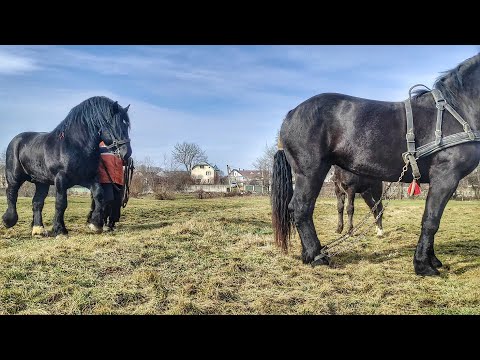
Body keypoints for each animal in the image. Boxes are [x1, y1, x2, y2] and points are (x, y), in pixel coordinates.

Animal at [1, 95, 132, 236]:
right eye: (114, 124)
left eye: (126, 125)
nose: (127, 153)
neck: (76, 145)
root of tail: (16, 139)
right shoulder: (61, 179)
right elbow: (61, 203)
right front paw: (60, 230)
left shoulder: (88, 178)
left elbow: (99, 194)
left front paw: (95, 224)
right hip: (14, 176)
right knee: (11, 193)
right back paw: (9, 220)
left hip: (41, 182)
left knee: (37, 202)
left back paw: (38, 229)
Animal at [272, 52, 480, 276]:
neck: (457, 109)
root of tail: (291, 114)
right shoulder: (445, 176)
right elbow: (431, 220)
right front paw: (423, 265)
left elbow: (433, 217)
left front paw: (432, 260)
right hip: (310, 172)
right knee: (301, 209)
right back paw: (317, 256)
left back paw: (310, 254)